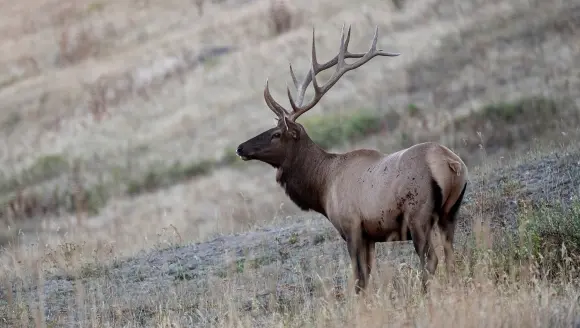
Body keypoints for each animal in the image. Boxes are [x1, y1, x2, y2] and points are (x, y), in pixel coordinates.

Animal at [236, 25, 466, 292]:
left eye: (276, 134)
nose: (240, 148)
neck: (323, 186)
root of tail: (451, 164)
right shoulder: (371, 235)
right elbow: (367, 275)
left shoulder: (352, 226)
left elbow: (359, 279)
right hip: (450, 212)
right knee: (450, 255)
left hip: (417, 214)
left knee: (430, 259)